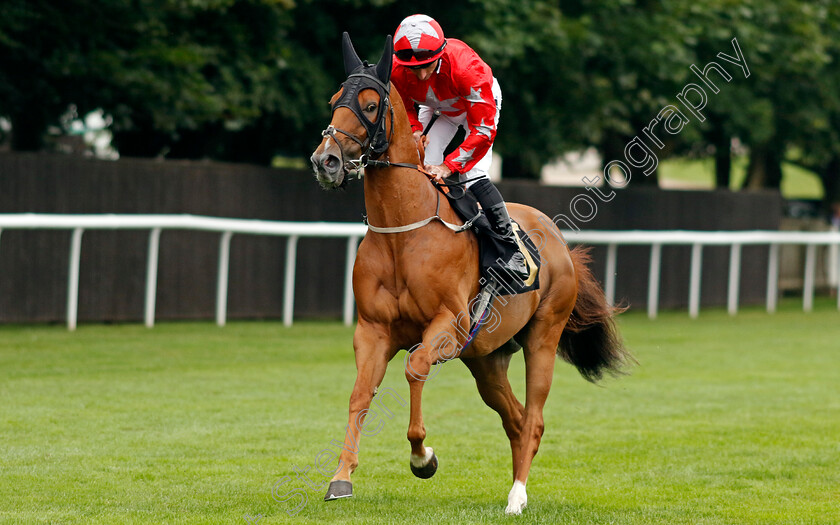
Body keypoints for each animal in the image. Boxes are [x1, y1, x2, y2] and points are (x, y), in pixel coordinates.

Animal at [308, 33, 632, 516]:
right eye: (334, 102)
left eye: (369, 105)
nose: (325, 161)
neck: (404, 230)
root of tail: (560, 242)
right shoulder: (372, 329)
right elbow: (360, 394)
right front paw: (341, 478)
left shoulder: (449, 323)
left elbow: (416, 368)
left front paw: (422, 457)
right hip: (487, 358)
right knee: (515, 419)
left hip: (542, 337)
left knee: (533, 419)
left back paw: (517, 496)